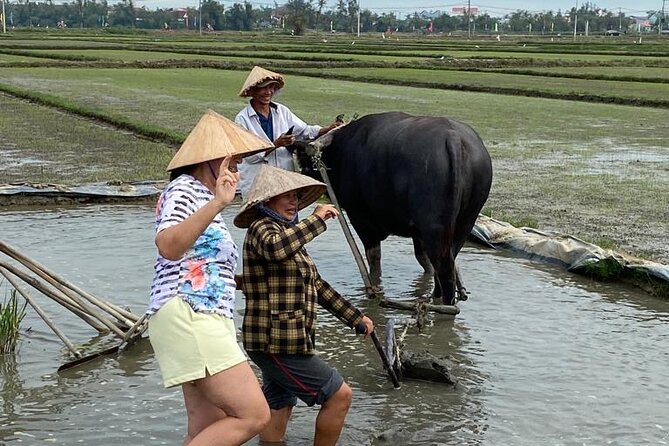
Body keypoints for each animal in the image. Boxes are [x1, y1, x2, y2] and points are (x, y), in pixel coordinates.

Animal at [293, 111, 493, 306]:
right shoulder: (417, 233)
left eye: (304, 161)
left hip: (435, 227)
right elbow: (423, 260)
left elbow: (374, 260)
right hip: (463, 225)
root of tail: (453, 138)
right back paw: (434, 297)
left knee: (445, 271)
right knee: (446, 263)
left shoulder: (361, 219)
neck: (340, 151)